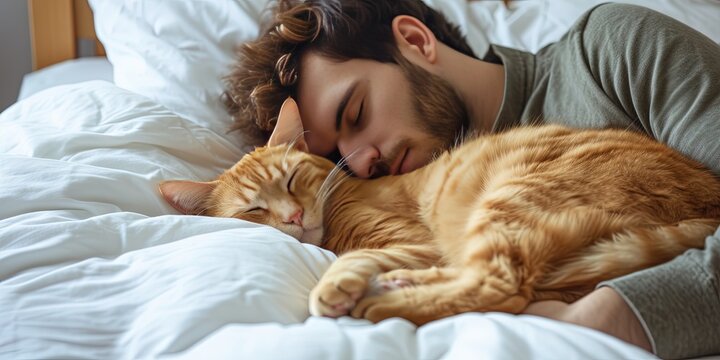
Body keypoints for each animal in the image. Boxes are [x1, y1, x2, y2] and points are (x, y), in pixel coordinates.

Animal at [159, 99, 720, 326]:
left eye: (294, 180)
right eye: (255, 210)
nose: (294, 218)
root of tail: (708, 194)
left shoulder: (411, 240)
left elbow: (353, 259)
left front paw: (333, 288)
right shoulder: (417, 247)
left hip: (511, 198)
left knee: (500, 286)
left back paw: (385, 305)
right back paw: (401, 287)